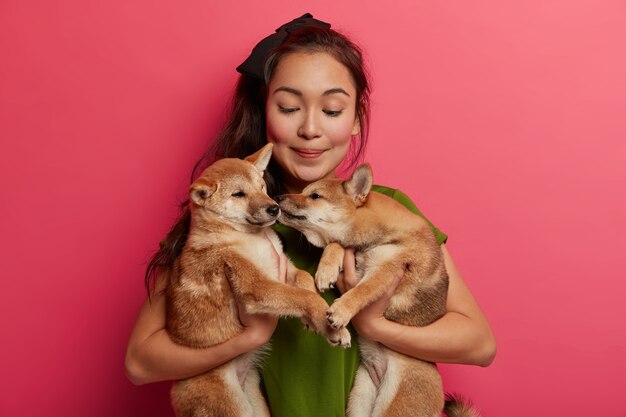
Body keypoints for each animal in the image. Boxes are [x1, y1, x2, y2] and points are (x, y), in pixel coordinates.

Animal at [167, 144, 352, 416]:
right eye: (238, 194)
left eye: (261, 186)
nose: (274, 207)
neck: (251, 238)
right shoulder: (257, 286)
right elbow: (303, 297)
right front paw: (329, 325)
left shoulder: (285, 267)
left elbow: (305, 282)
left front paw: (314, 319)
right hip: (231, 407)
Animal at [274, 163, 478, 416]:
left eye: (315, 196)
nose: (278, 197)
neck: (378, 238)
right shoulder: (351, 247)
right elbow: (335, 244)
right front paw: (326, 270)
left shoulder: (386, 271)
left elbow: (362, 291)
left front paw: (341, 310)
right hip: (360, 399)